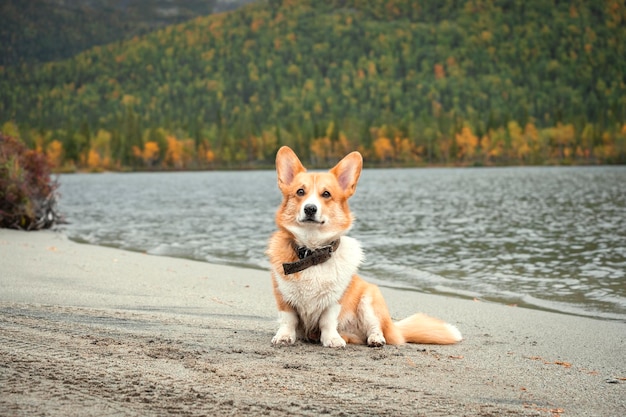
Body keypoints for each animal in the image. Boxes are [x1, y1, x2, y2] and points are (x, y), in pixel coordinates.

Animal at [264, 146, 458, 348]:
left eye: (326, 194)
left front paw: (332, 339)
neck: (313, 252)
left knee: (375, 328)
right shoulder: (283, 296)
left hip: (369, 300)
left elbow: (328, 320)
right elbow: (288, 319)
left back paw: (375, 339)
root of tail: (394, 327)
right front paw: (284, 336)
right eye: (300, 192)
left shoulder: (335, 300)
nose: (310, 208)